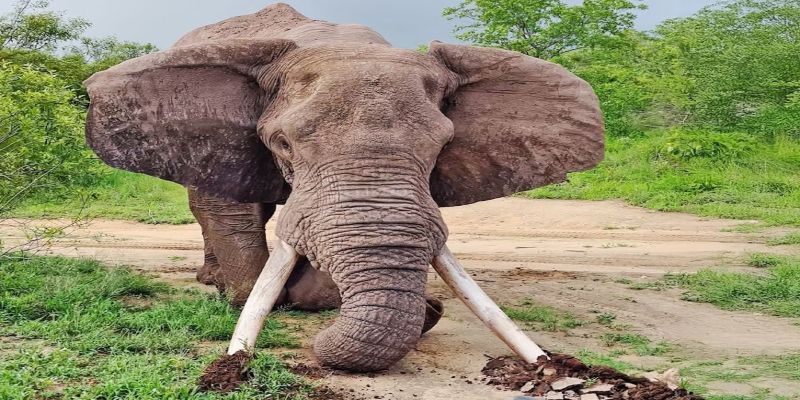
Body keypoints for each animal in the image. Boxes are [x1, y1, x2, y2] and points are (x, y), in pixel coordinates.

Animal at [83, 3, 603, 372]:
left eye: (443, 146)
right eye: (282, 143)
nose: (432, 305)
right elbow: (230, 213)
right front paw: (247, 293)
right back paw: (211, 280)